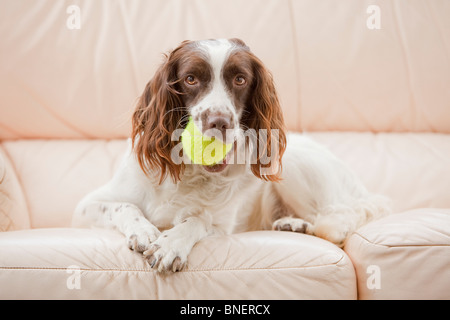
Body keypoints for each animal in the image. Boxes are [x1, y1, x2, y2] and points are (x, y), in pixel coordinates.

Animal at [73, 38, 390, 272]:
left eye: (240, 79)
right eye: (190, 79)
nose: (219, 121)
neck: (191, 173)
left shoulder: (223, 226)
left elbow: (198, 220)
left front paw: (171, 243)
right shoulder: (87, 207)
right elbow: (124, 206)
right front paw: (145, 232)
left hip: (295, 165)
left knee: (338, 223)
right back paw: (294, 226)